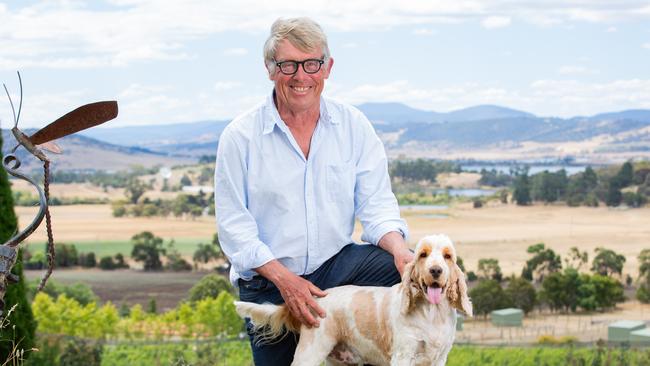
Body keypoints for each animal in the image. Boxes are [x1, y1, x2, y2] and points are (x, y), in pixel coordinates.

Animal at [233, 236, 470, 364]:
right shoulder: (404, 355)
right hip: (309, 353)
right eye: (423, 254)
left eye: (447, 256)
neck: (432, 314)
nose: (436, 270)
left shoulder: (439, 357)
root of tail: (317, 298)